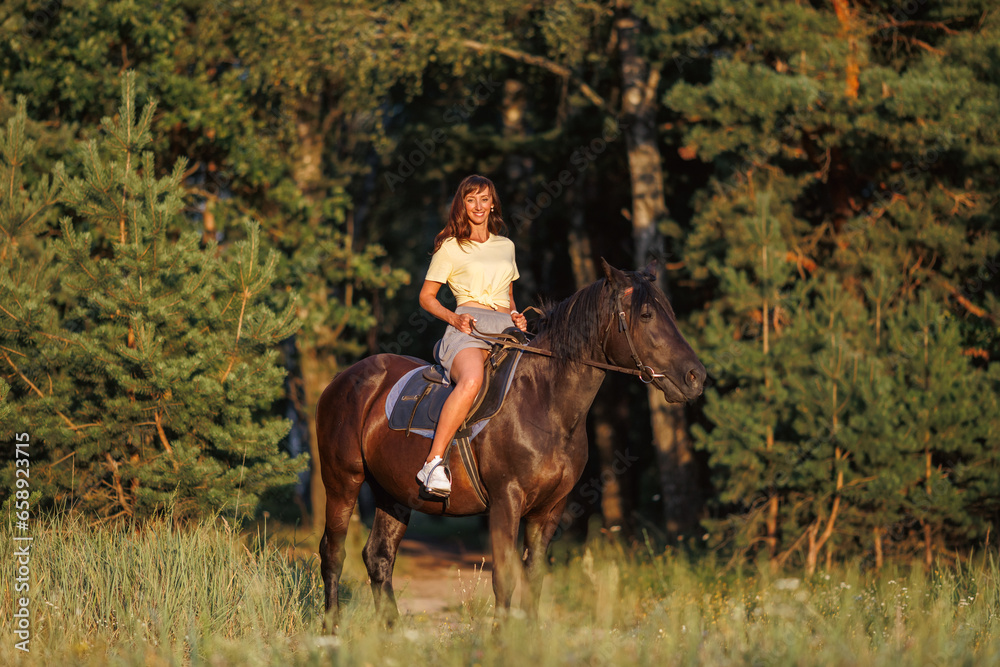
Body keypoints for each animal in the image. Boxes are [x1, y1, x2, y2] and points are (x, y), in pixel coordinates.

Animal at [315, 259, 706, 628]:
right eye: (646, 314)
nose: (696, 377)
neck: (546, 402)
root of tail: (343, 378)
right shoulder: (507, 501)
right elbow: (504, 578)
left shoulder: (549, 509)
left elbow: (533, 577)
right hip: (342, 483)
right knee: (333, 552)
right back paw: (331, 631)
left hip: (392, 494)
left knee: (379, 557)